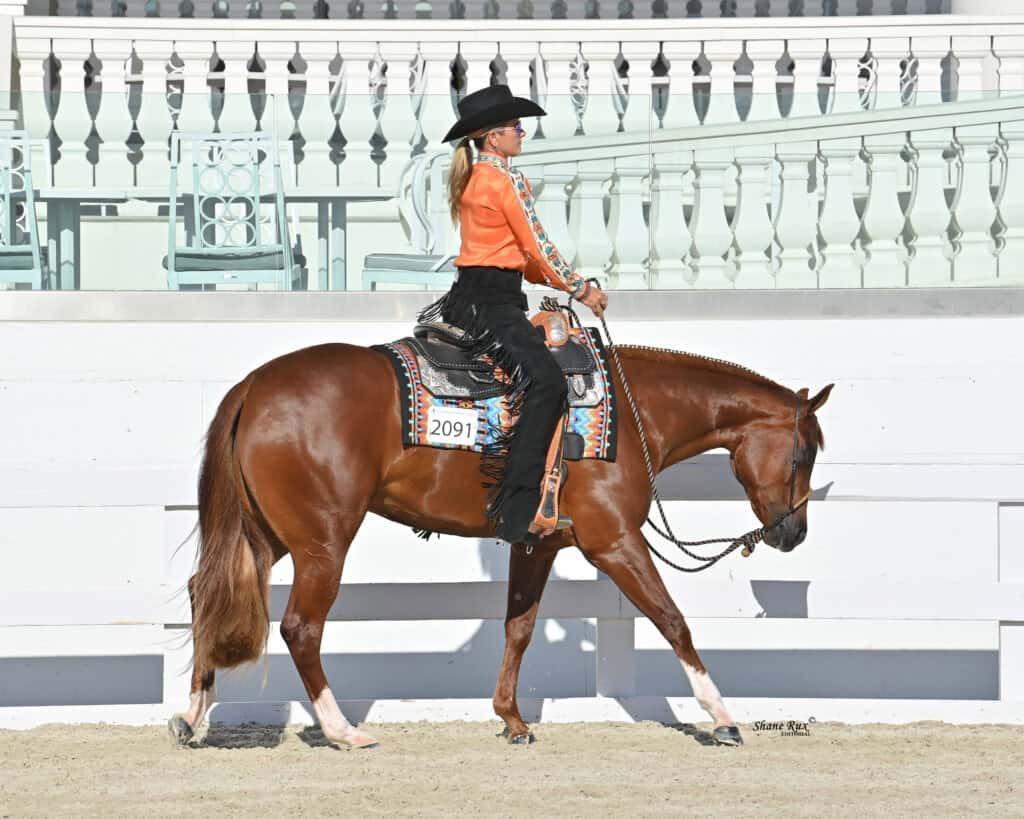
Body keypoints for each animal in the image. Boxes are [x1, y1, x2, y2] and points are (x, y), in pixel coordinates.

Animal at [168, 337, 832, 749]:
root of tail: (255, 384)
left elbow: (519, 626)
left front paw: (512, 719)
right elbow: (673, 621)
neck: (634, 413)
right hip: (322, 541)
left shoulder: (539, 544)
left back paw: (191, 715)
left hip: (265, 534)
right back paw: (341, 730)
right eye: (804, 452)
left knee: (204, 595)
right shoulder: (614, 542)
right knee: (301, 627)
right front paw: (722, 717)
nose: (794, 533)